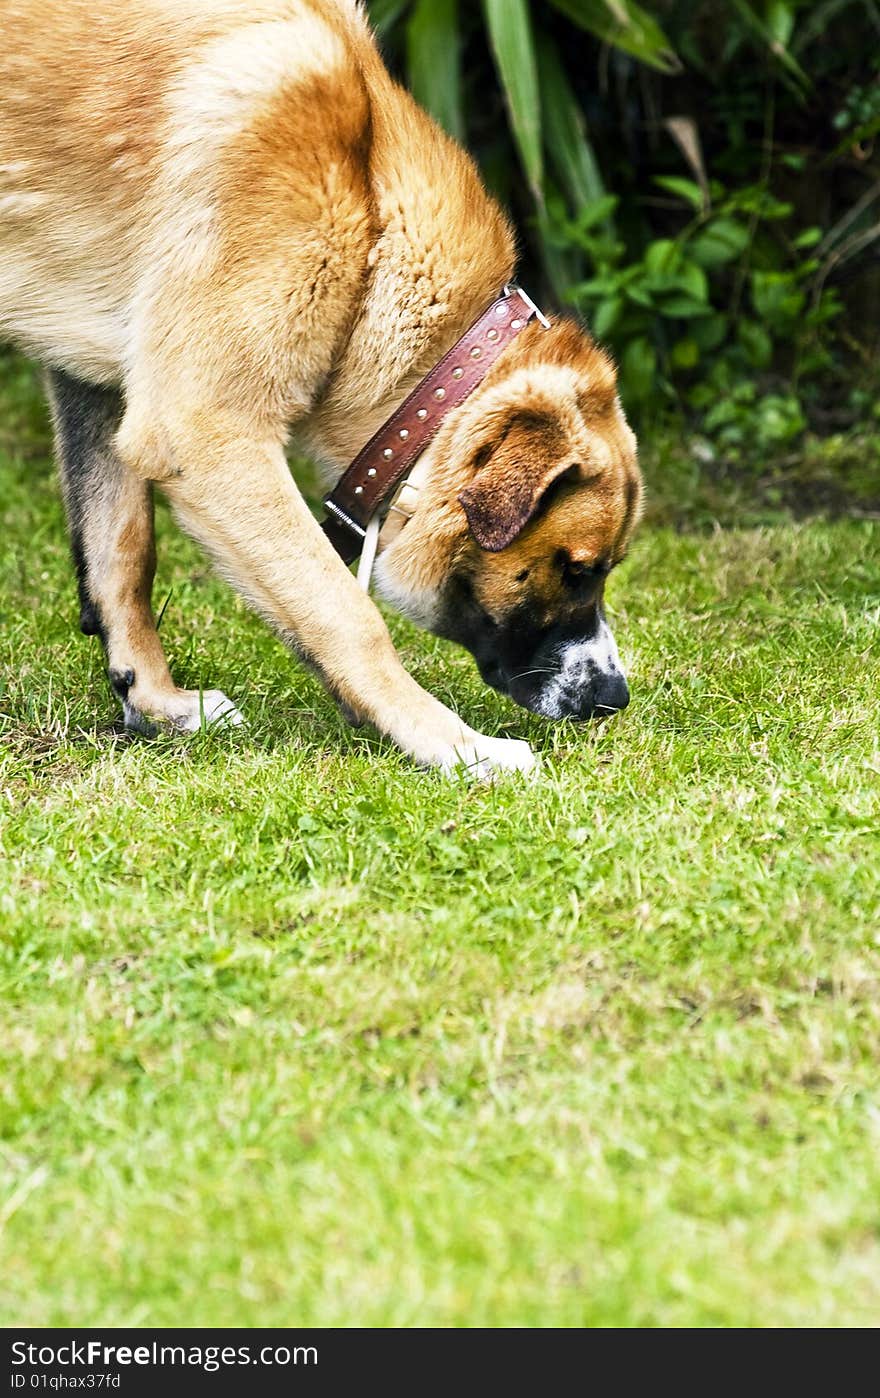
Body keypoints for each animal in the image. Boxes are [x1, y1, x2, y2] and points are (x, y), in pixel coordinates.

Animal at [0, 0, 637, 771]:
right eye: (579, 570)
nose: (614, 700)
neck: (371, 209)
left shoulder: (100, 382)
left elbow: (122, 554)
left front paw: (157, 703)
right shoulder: (206, 431)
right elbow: (345, 611)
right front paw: (455, 745)